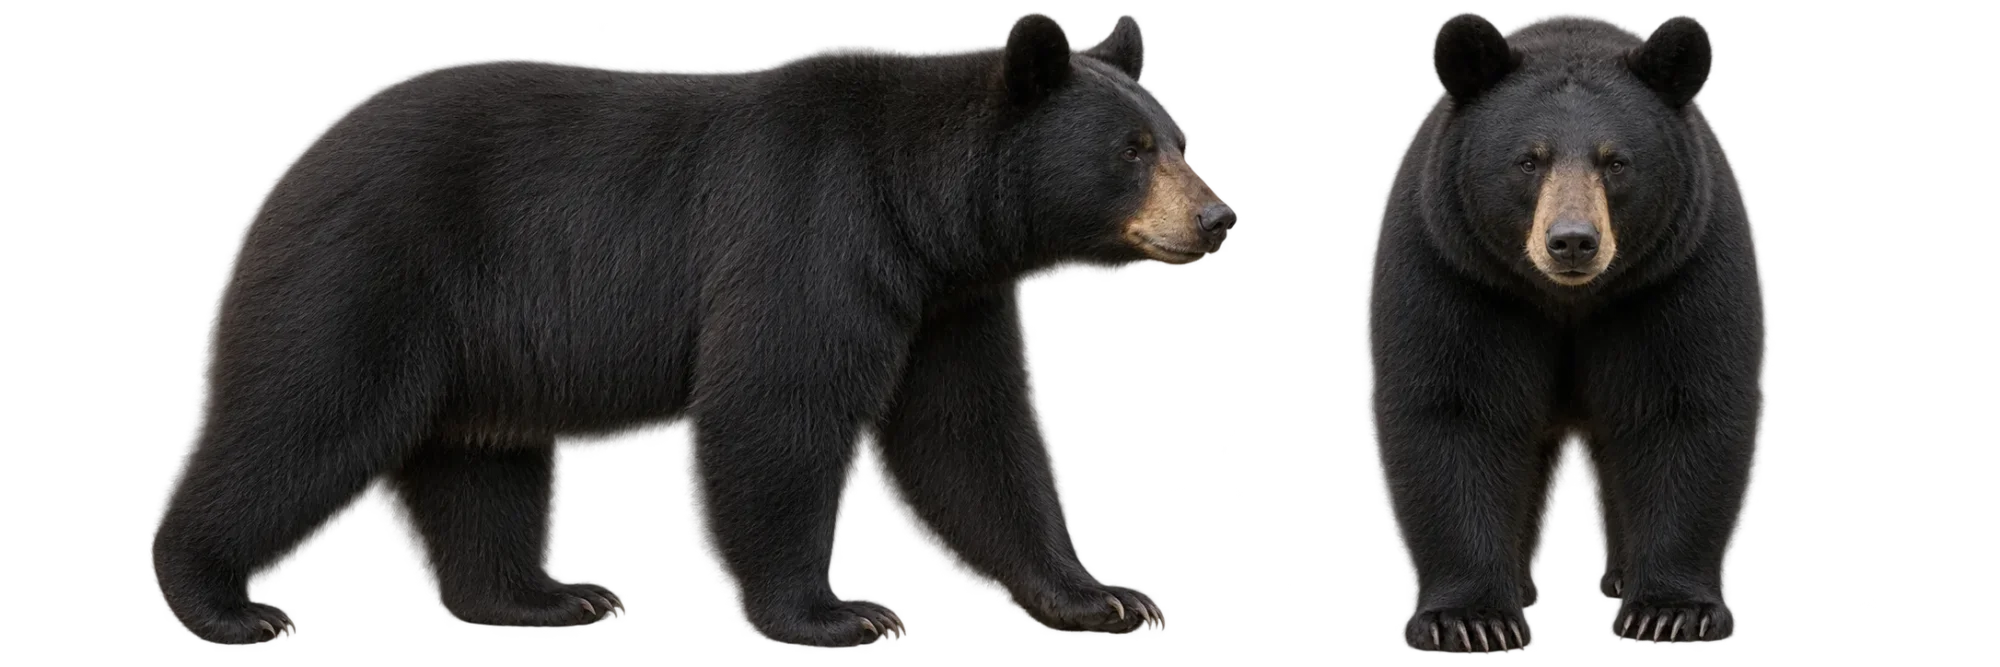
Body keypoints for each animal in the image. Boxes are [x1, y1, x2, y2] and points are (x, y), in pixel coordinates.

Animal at [149, 11, 1232, 649]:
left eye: (1180, 139)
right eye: (1130, 150)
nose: (1216, 217)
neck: (916, 207)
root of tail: (294, 166)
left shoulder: (948, 300)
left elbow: (974, 440)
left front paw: (1102, 594)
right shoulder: (811, 231)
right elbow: (774, 409)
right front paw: (839, 610)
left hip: (482, 343)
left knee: (482, 469)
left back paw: (549, 595)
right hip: (371, 272)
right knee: (301, 417)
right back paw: (224, 600)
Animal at [1362, 11, 1765, 653]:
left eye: (1615, 162)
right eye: (1530, 160)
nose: (1573, 241)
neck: (1568, 298)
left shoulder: (1677, 270)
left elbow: (1683, 407)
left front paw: (1671, 613)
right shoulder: (1457, 269)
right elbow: (1454, 410)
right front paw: (1472, 620)